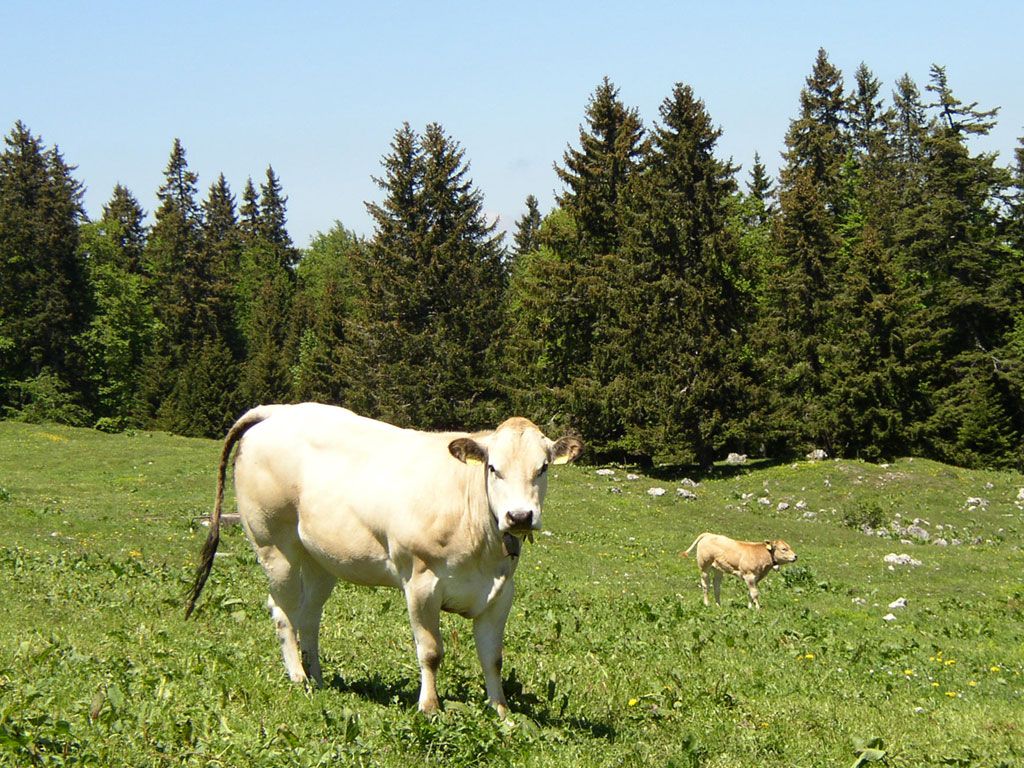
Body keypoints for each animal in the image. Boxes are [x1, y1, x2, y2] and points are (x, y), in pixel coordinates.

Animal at [185, 403, 583, 716]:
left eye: (543, 468)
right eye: (492, 468)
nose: (520, 516)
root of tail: (276, 411)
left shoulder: (500, 591)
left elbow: (493, 658)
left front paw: (501, 712)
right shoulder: (421, 582)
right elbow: (431, 651)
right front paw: (430, 707)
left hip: (320, 560)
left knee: (309, 616)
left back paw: (318, 678)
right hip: (274, 545)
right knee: (282, 611)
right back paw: (298, 677)